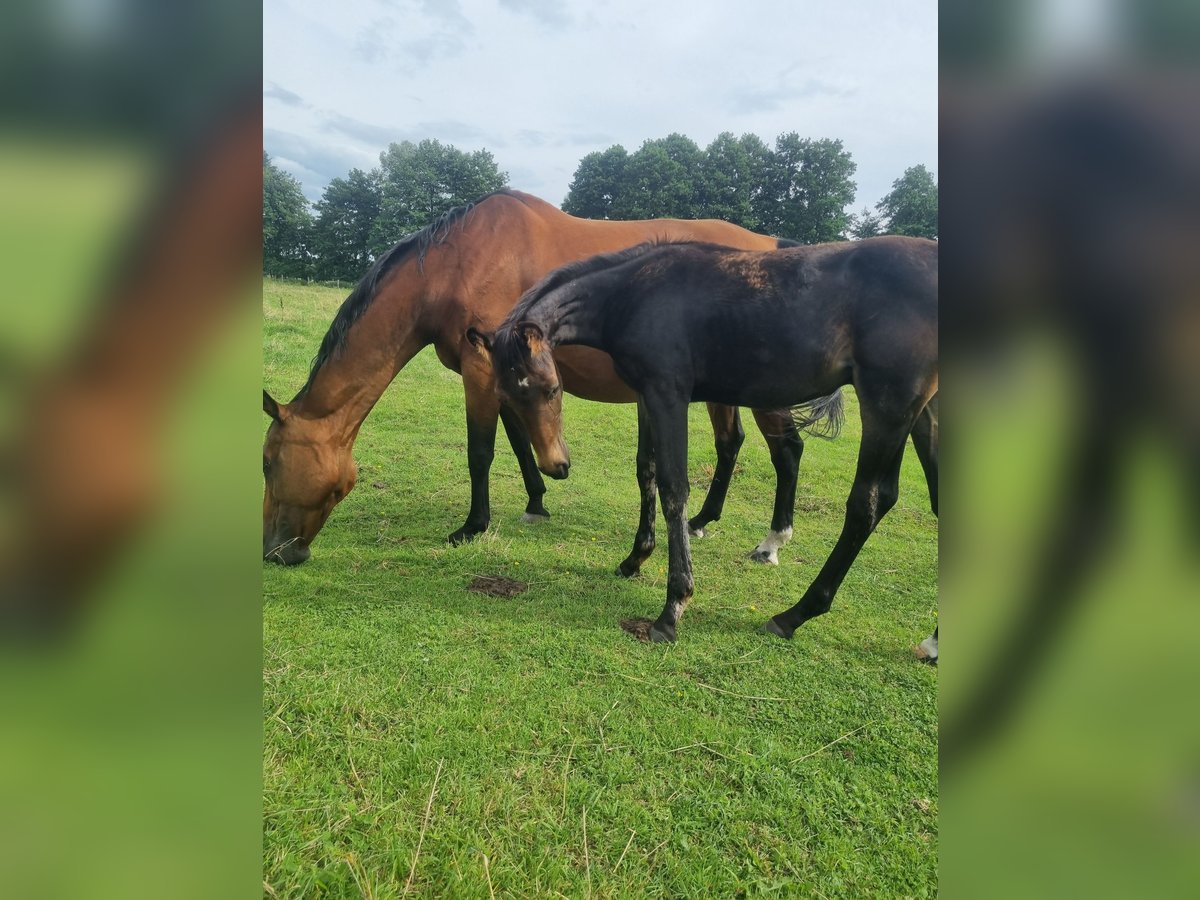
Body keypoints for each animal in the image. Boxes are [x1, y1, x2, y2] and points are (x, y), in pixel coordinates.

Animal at [262, 192, 830, 564]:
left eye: (267, 464)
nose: (274, 552)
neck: (455, 262)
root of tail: (774, 244)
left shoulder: (480, 370)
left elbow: (482, 452)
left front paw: (472, 526)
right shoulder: (507, 376)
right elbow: (519, 441)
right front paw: (536, 502)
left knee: (787, 450)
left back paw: (771, 542)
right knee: (731, 443)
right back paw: (702, 522)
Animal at [468, 236, 936, 643]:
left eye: (552, 389)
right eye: (507, 396)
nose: (556, 466)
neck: (634, 293)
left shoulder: (668, 393)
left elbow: (674, 487)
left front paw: (672, 608)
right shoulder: (646, 394)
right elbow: (646, 470)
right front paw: (635, 558)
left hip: (887, 405)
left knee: (868, 502)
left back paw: (793, 614)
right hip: (922, 410)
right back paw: (929, 643)